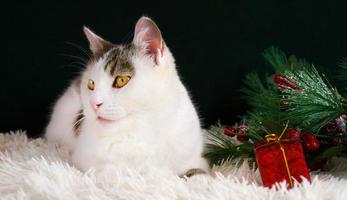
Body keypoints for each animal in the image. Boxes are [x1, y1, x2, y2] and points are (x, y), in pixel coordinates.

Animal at [46, 17, 209, 176]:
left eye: (121, 80)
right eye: (91, 84)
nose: (94, 104)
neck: (143, 127)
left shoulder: (194, 156)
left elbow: (196, 171)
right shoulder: (86, 159)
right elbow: (115, 172)